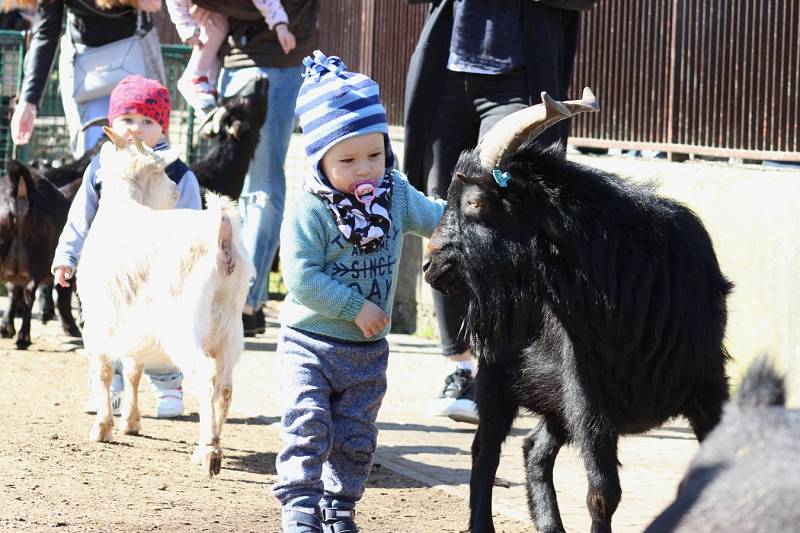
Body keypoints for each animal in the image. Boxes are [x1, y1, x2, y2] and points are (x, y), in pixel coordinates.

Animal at [79, 127, 252, 476]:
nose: (174, 191)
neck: (123, 206)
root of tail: (221, 233)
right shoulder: (134, 326)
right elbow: (133, 370)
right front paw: (131, 423)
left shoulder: (98, 323)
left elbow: (104, 372)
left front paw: (102, 428)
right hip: (229, 326)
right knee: (225, 385)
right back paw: (213, 446)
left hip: (185, 327)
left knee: (206, 379)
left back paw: (207, 452)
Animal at [422, 90, 736, 532]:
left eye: (475, 202)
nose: (430, 265)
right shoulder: (587, 394)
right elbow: (603, 493)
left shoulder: (709, 387)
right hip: (499, 379)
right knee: (486, 449)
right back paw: (484, 523)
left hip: (553, 405)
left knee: (534, 449)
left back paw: (550, 524)